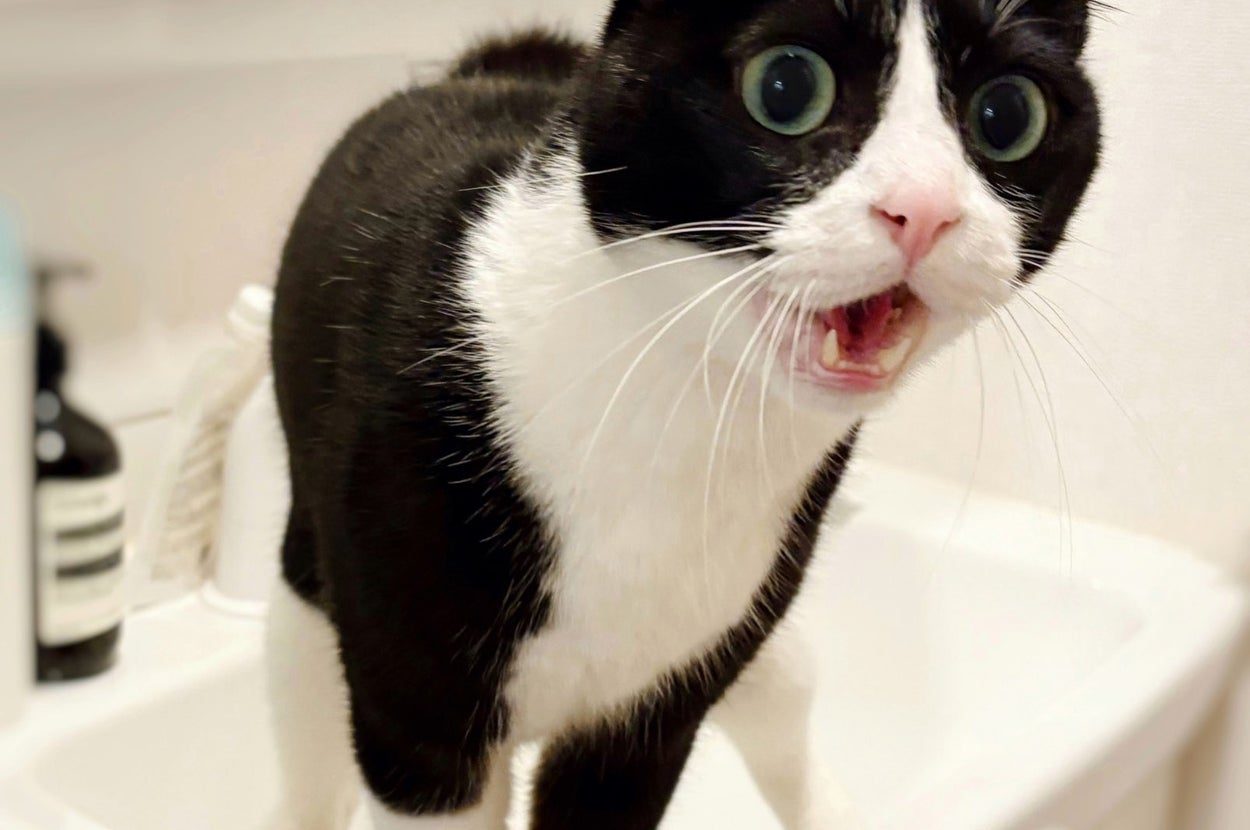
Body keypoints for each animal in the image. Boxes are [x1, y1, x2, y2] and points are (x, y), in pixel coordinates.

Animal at [267, 1, 1102, 828]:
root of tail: (487, 67)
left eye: (1007, 114)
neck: (677, 413)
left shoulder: (653, 717)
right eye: (786, 87)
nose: (925, 210)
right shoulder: (421, 735)